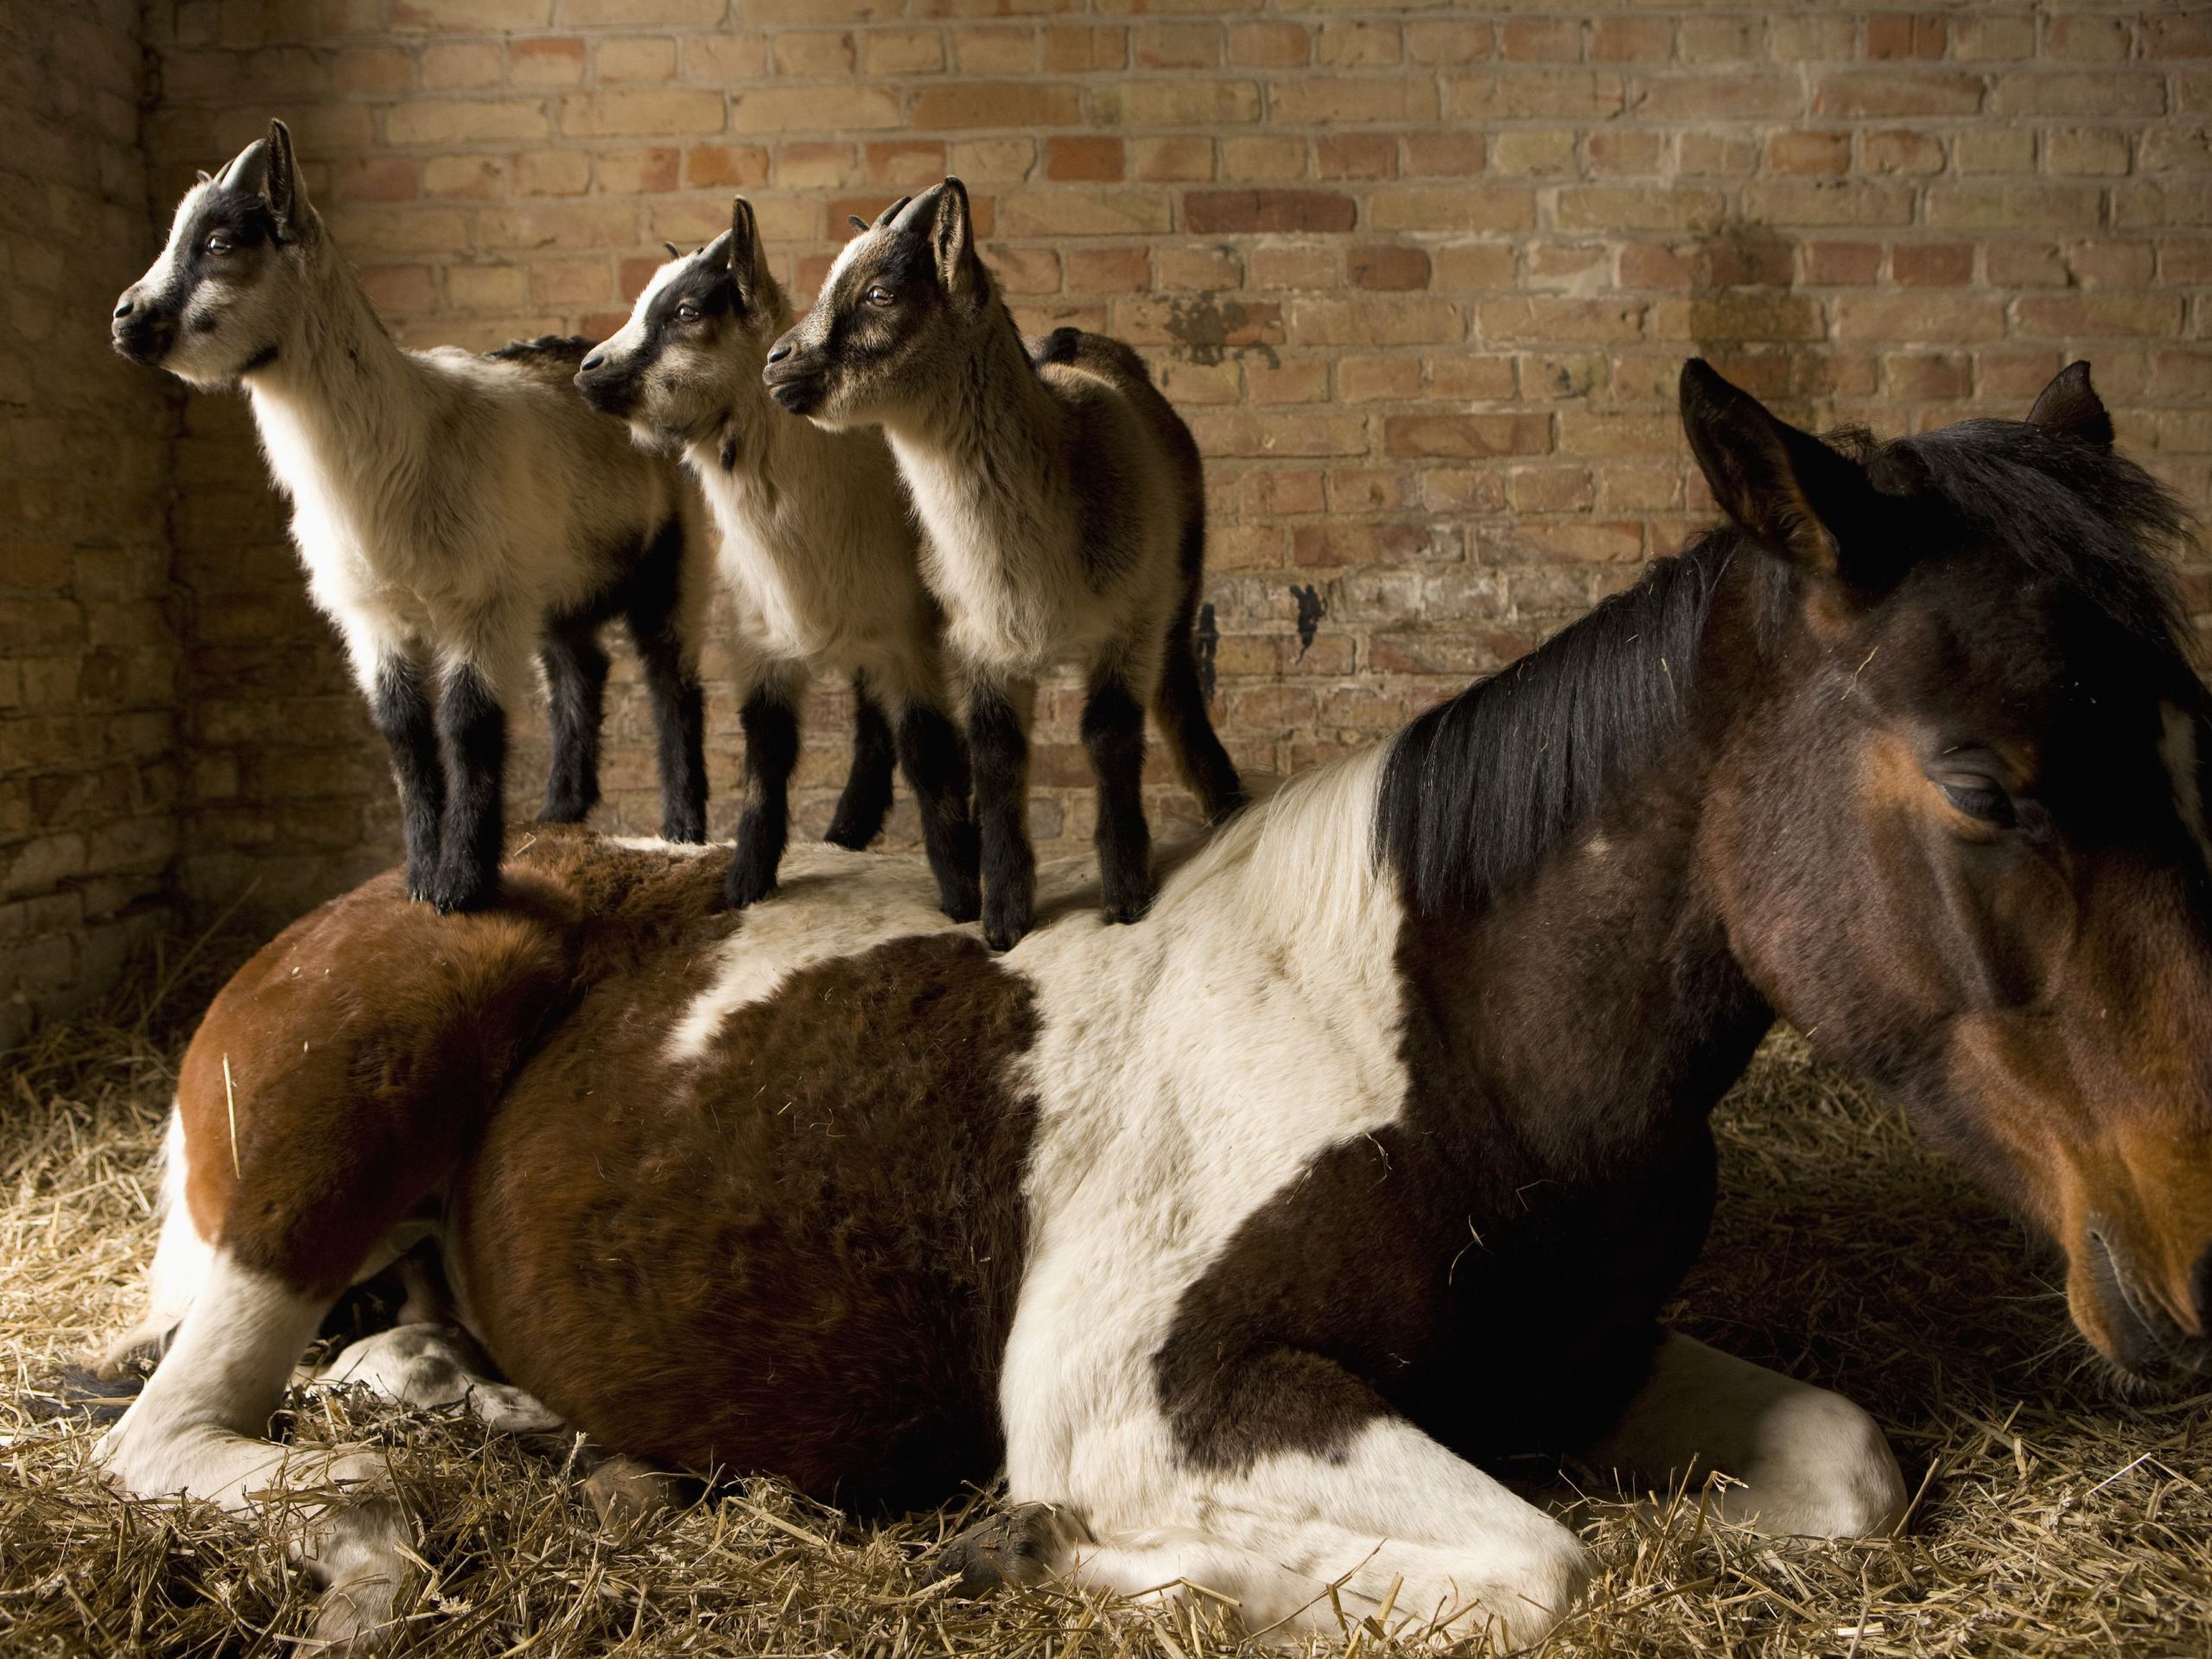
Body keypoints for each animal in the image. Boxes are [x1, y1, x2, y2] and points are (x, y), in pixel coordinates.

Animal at [90, 362, 2212, 1654]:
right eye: (1981, 784)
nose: (2190, 1271)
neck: (1455, 1048)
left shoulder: (1581, 1370)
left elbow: (1844, 1475)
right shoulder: (1155, 1402)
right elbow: (1540, 1566)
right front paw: (1036, 1549)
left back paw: (498, 1413)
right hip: (314, 1157)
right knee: (185, 1427)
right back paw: (376, 1510)